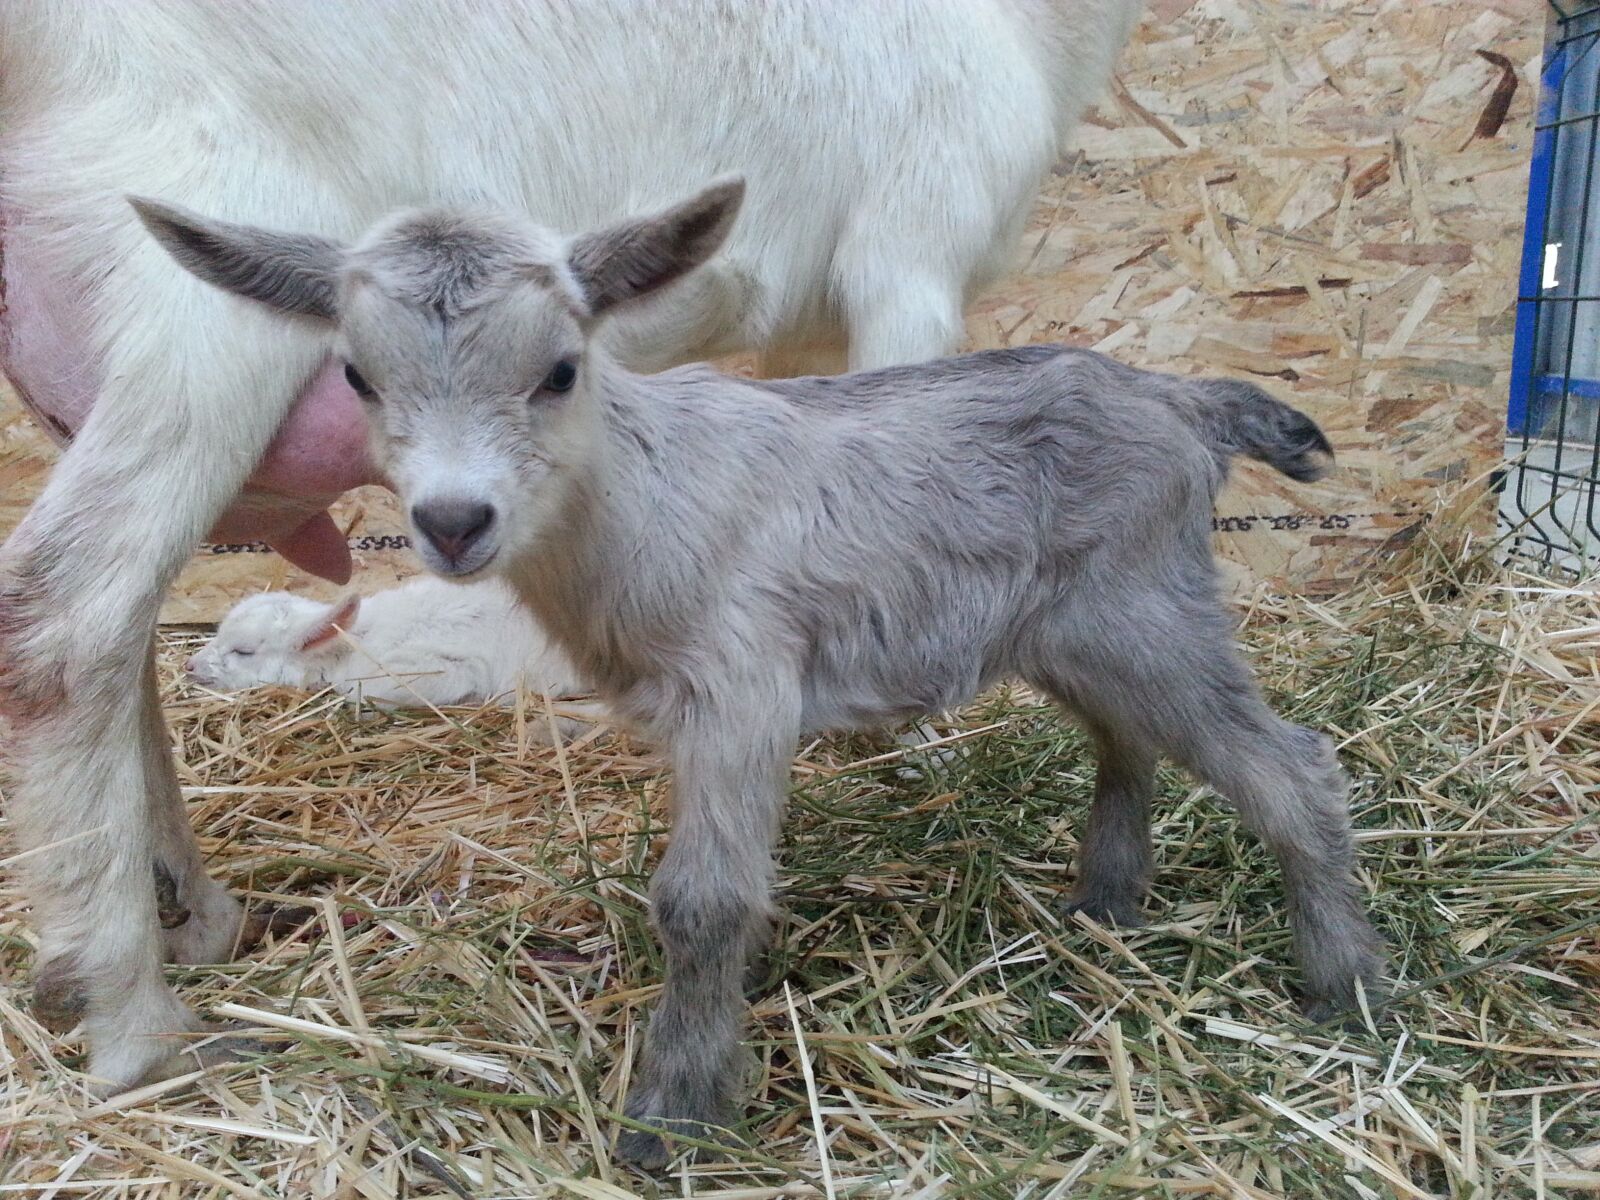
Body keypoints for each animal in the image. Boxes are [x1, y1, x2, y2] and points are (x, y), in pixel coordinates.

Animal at [0, 0, 1143, 1099]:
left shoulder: (814, 334)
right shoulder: (909, 253)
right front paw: (918, 749)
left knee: (127, 645)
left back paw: (192, 913)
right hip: (196, 313)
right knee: (66, 618)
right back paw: (135, 1026)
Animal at [134, 179, 1387, 1168]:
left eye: (560, 369)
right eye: (357, 374)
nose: (451, 522)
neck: (639, 498)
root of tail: (1181, 398)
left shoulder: (742, 684)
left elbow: (702, 902)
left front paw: (670, 1119)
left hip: (1146, 614)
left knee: (1291, 769)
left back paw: (1344, 987)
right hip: (1076, 629)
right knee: (1128, 741)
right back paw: (1107, 906)